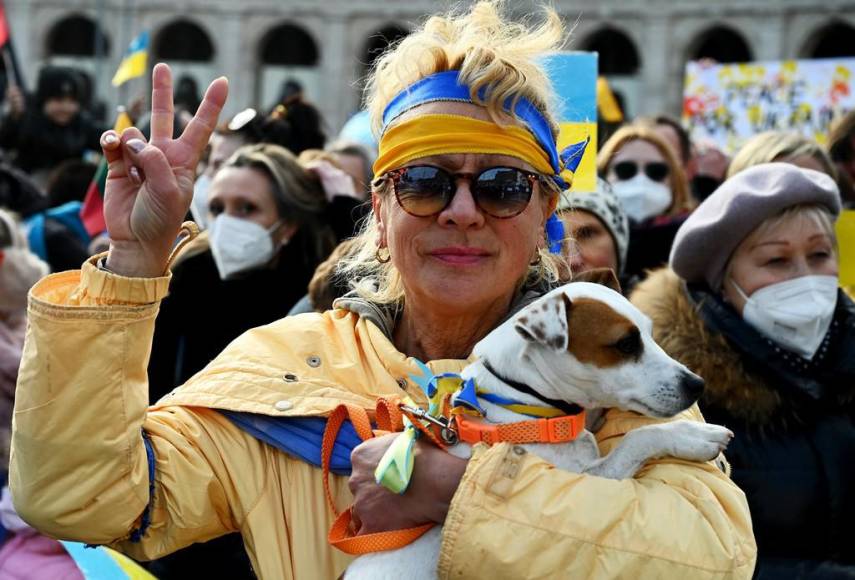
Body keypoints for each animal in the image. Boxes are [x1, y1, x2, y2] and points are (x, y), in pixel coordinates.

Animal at [348, 272, 736, 580]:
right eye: (626, 344)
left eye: (651, 333)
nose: (697, 385)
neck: (522, 398)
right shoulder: (592, 479)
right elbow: (639, 437)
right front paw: (695, 436)